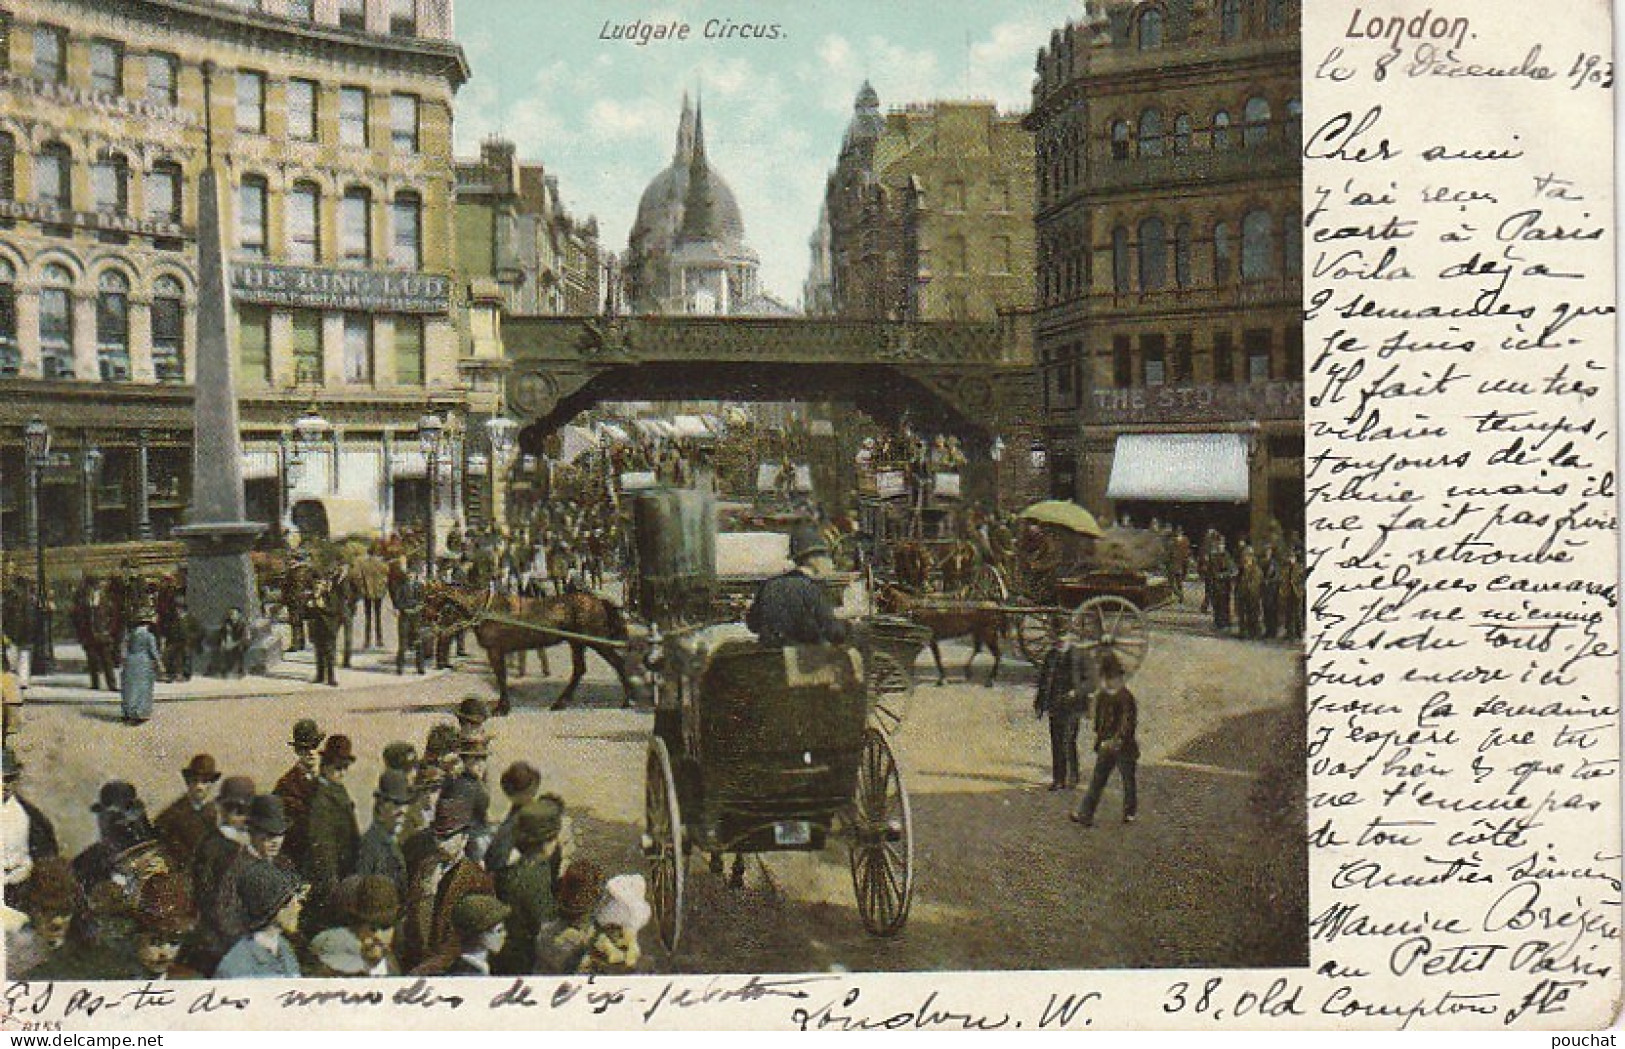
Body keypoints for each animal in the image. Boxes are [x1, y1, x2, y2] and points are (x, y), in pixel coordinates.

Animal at [429, 587, 630, 717]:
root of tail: (598, 601)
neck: (487, 610)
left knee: (618, 663)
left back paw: (627, 701)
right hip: (577, 642)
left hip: (596, 642)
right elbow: (501, 677)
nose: (432, 625)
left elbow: (501, 677)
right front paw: (503, 706)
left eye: (438, 604)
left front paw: (502, 708)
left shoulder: (495, 650)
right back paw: (560, 703)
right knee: (579, 670)